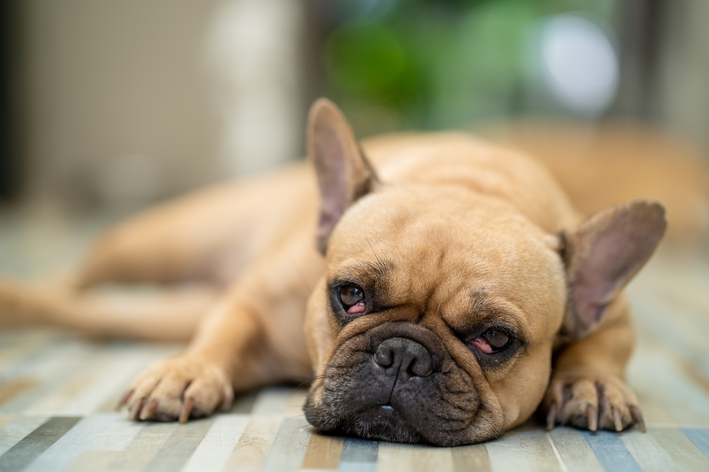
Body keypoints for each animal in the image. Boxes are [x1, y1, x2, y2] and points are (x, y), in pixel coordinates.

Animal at [0, 98, 664, 446]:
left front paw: (589, 384)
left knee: (96, 310)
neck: (469, 185)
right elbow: (226, 330)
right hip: (154, 242)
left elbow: (602, 345)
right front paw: (187, 373)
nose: (403, 355)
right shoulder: (253, 305)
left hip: (158, 306)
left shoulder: (615, 310)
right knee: (80, 281)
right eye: (350, 295)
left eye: (495, 339)